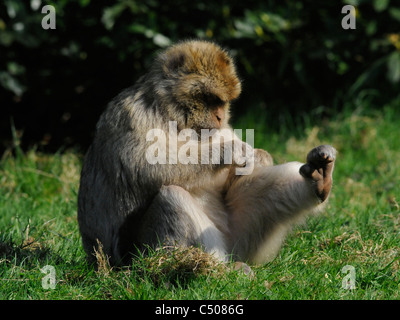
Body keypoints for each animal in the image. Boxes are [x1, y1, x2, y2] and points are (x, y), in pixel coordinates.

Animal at [76, 39, 336, 264]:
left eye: (223, 102)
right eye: (210, 99)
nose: (220, 116)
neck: (172, 116)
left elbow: (233, 183)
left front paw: (260, 157)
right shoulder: (132, 115)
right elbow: (145, 168)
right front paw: (228, 151)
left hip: (242, 239)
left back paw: (319, 179)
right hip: (136, 255)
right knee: (171, 196)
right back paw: (213, 271)